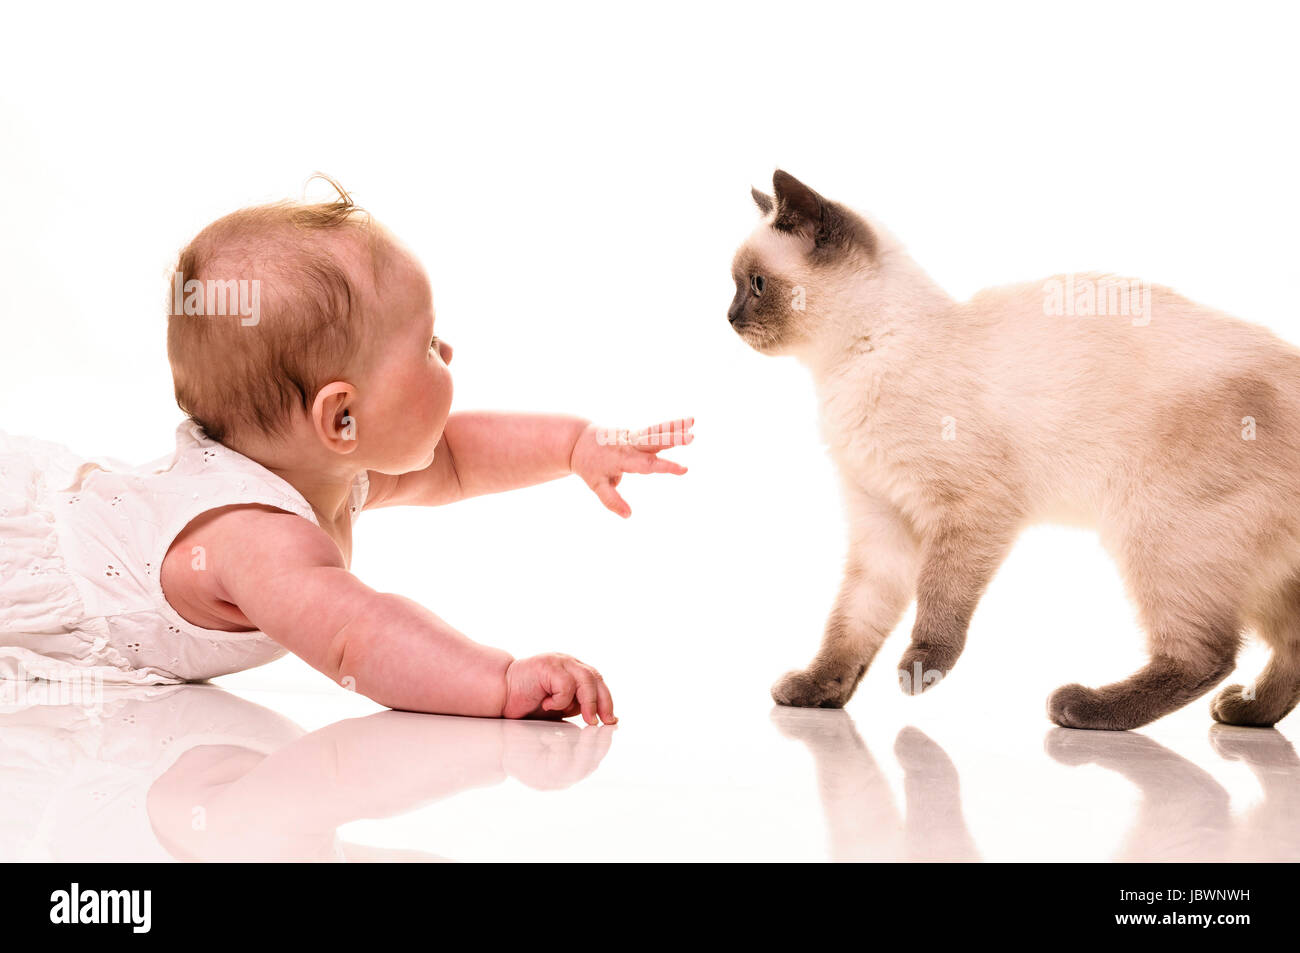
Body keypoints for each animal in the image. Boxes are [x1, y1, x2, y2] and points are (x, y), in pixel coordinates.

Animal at [728, 169, 1300, 728]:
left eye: (756, 285)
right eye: (734, 285)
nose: (729, 317)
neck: (845, 367)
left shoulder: (969, 510)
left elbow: (938, 599)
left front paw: (920, 670)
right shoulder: (883, 523)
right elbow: (849, 625)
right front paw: (818, 692)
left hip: (1159, 535)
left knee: (1206, 656)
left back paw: (1085, 708)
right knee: (1285, 647)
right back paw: (1247, 713)